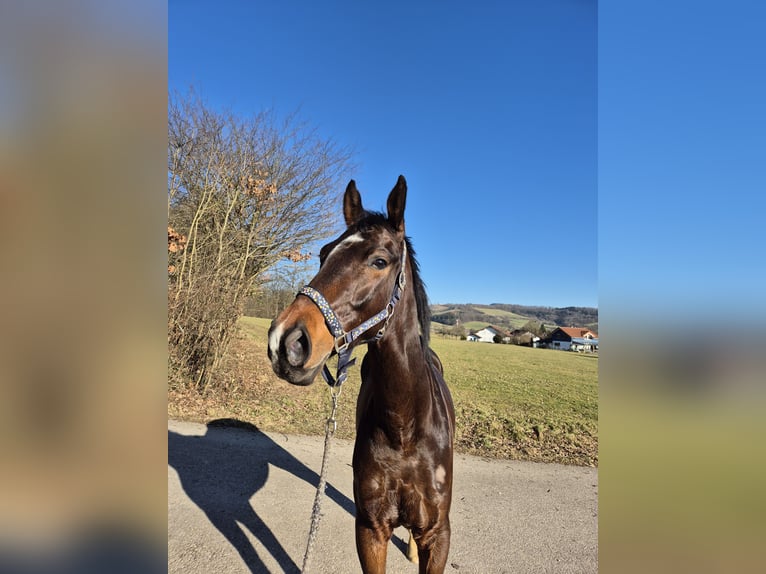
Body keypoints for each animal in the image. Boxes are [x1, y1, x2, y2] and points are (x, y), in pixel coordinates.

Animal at [268, 177, 456, 574]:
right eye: (323, 254)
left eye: (380, 261)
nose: (286, 341)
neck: (405, 429)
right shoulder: (370, 529)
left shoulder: (438, 535)